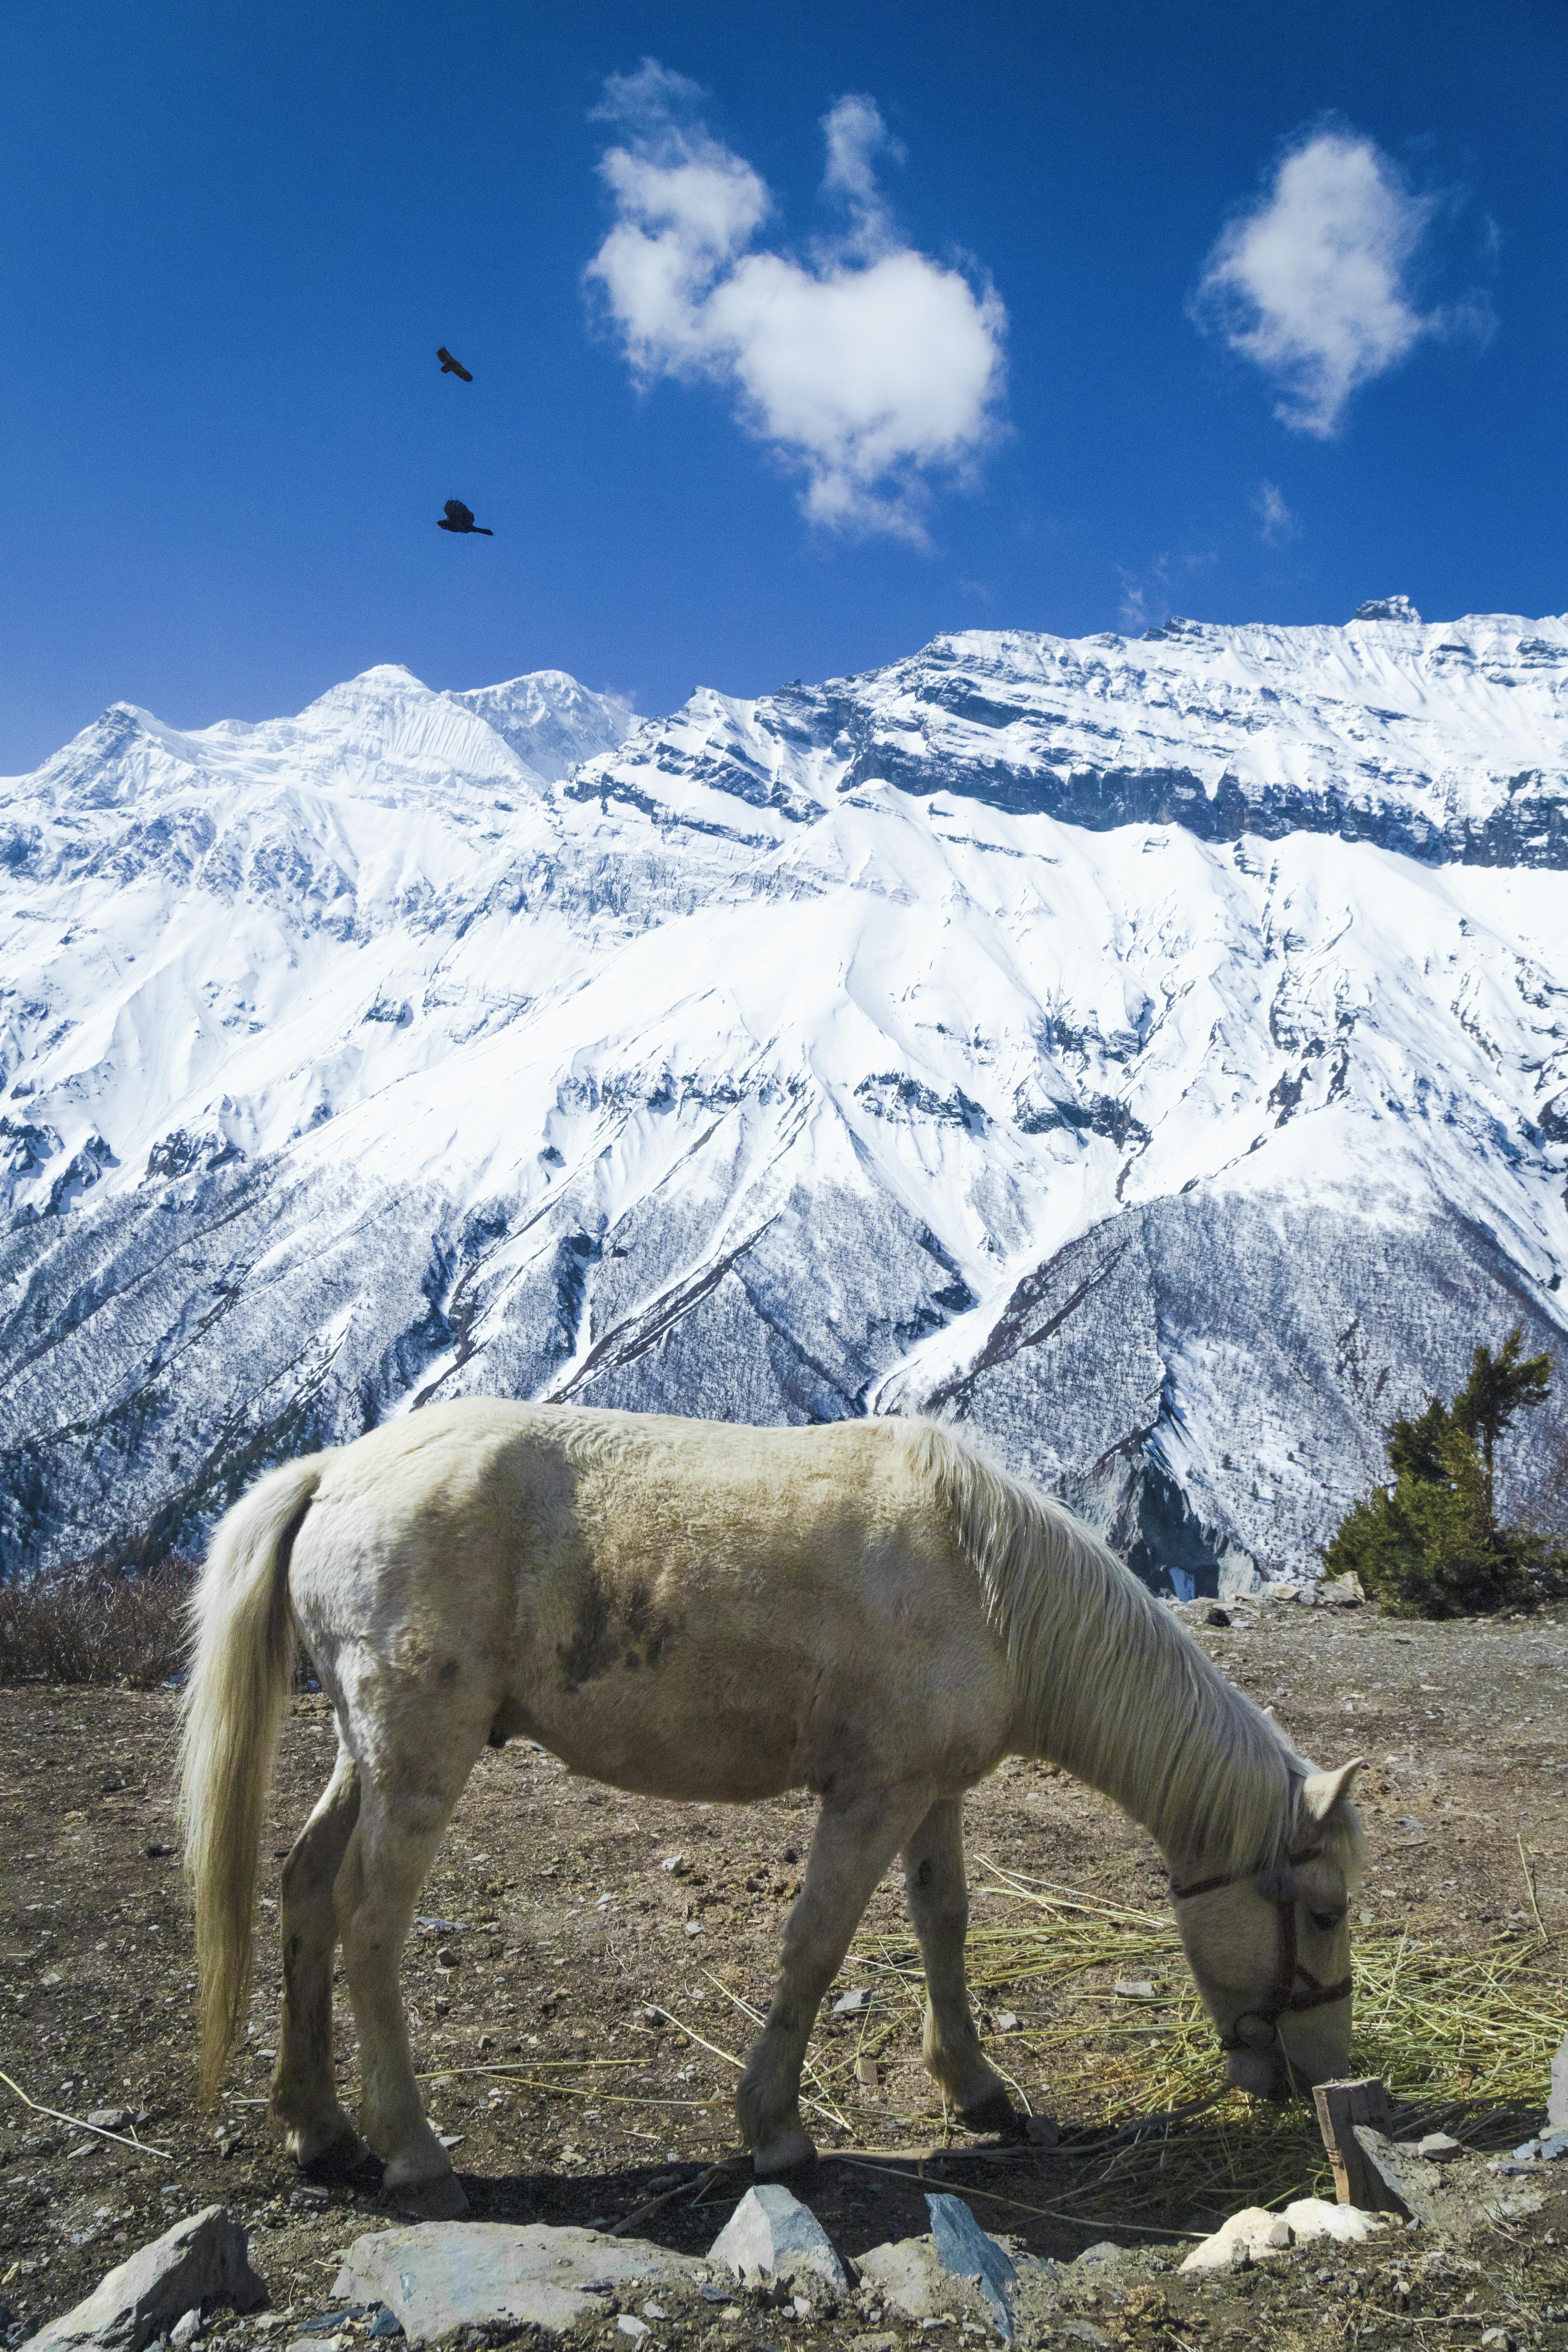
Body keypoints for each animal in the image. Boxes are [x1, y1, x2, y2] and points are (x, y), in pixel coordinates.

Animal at [178, 1402, 1364, 2218]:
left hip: (362, 1753)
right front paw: (778, 2131)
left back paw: (320, 2128)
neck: (988, 1586)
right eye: (1325, 1912)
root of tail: (334, 1470)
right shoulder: (870, 1797)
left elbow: (944, 1923)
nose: (1320, 2079)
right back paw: (415, 2154)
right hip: (418, 1759)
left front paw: (976, 2086)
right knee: (371, 1924)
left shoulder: (929, 1792)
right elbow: (817, 1946)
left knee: (306, 1890)